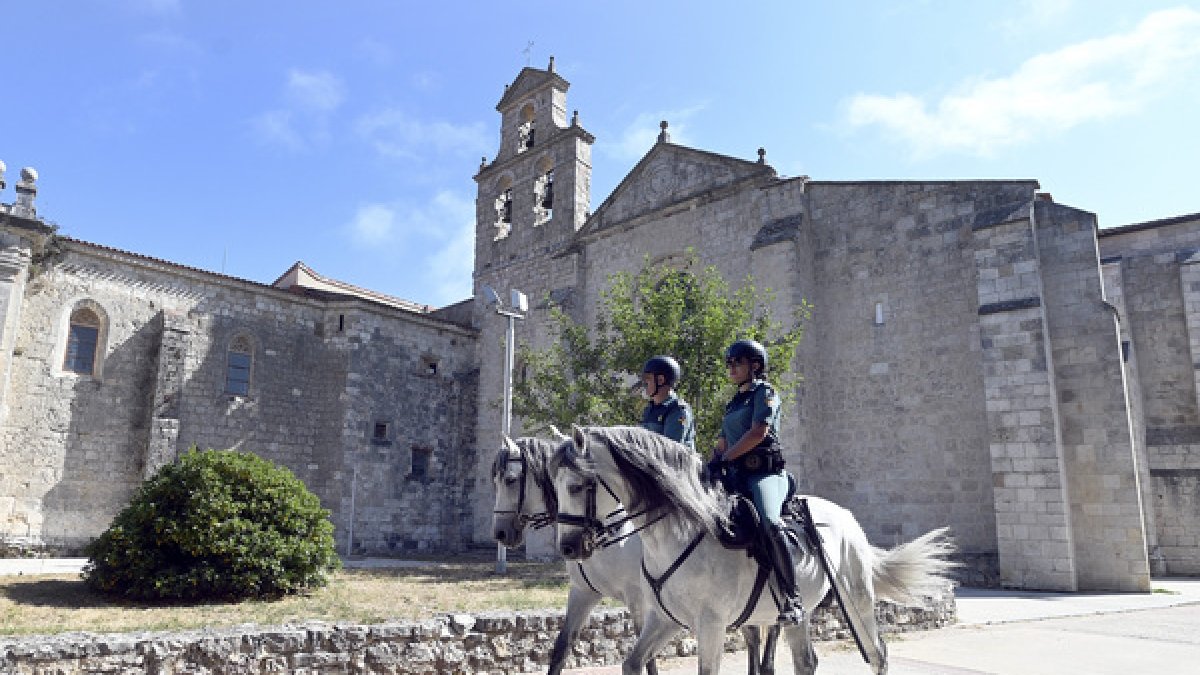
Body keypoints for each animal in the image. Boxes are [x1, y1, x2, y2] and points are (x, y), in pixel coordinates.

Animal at [492, 432, 782, 667]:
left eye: (510, 480)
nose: (500, 533)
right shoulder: (583, 592)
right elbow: (561, 648)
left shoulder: (640, 601)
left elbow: (649, 661)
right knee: (753, 637)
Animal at [549, 425, 955, 672]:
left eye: (576, 486)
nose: (568, 547)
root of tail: (846, 516)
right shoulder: (664, 619)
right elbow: (633, 662)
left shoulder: (711, 625)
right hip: (800, 615)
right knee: (805, 662)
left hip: (858, 602)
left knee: (876, 655)